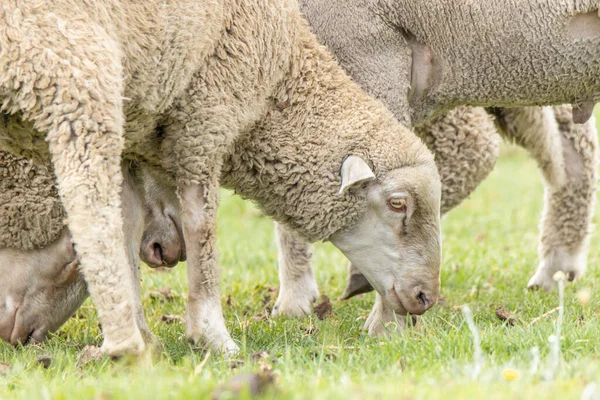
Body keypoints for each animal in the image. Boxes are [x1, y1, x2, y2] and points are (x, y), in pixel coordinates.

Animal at [0, 0, 440, 356]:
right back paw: (124, 347)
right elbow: (202, 230)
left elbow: (129, 227)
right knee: (92, 216)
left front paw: (149, 333)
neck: (280, 83)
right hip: (75, 77)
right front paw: (210, 335)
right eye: (397, 203)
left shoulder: (135, 141)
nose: (425, 297)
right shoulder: (206, 119)